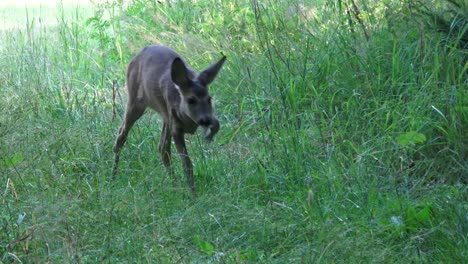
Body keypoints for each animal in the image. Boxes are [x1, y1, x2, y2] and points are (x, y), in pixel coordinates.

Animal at [111, 44, 225, 195]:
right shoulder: (176, 127)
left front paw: (209, 136)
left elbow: (217, 123)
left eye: (209, 99)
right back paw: (112, 177)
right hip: (135, 101)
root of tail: (137, 55)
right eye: (191, 100)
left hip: (164, 115)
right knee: (121, 135)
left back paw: (175, 186)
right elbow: (187, 164)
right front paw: (193, 195)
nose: (204, 121)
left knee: (162, 148)